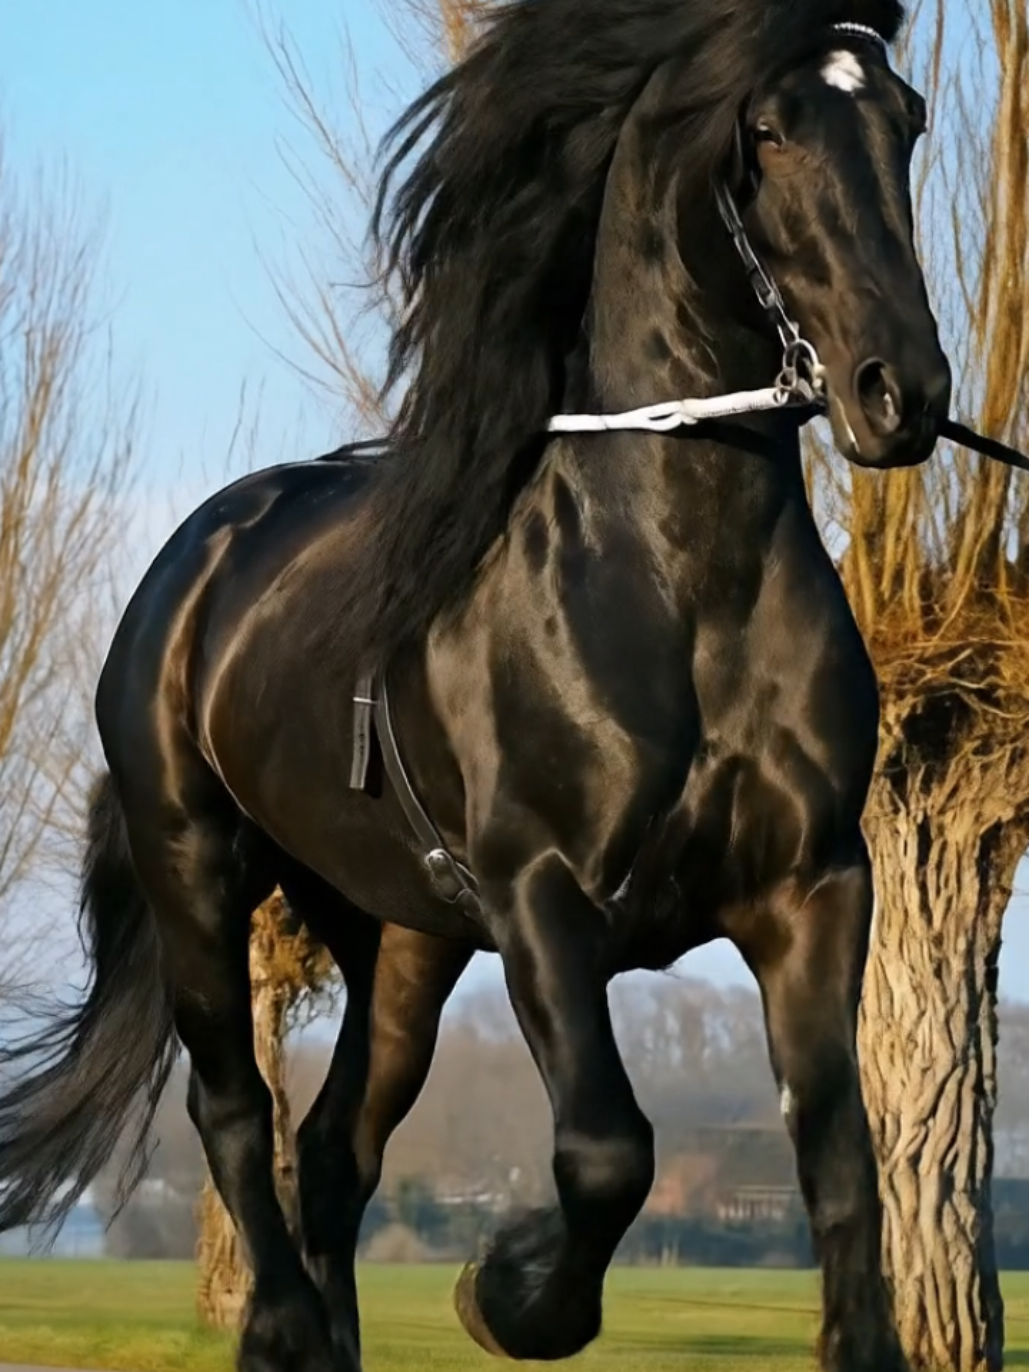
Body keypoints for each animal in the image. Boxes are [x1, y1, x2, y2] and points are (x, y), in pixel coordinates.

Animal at [0, 1, 950, 1369]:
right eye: (768, 130)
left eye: (906, 119)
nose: (901, 392)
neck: (676, 587)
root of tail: (198, 557)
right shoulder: (543, 895)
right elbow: (608, 1151)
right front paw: (502, 1289)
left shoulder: (812, 885)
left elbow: (840, 1166)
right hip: (198, 872)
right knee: (234, 1110)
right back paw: (281, 1326)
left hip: (403, 932)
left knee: (333, 1144)